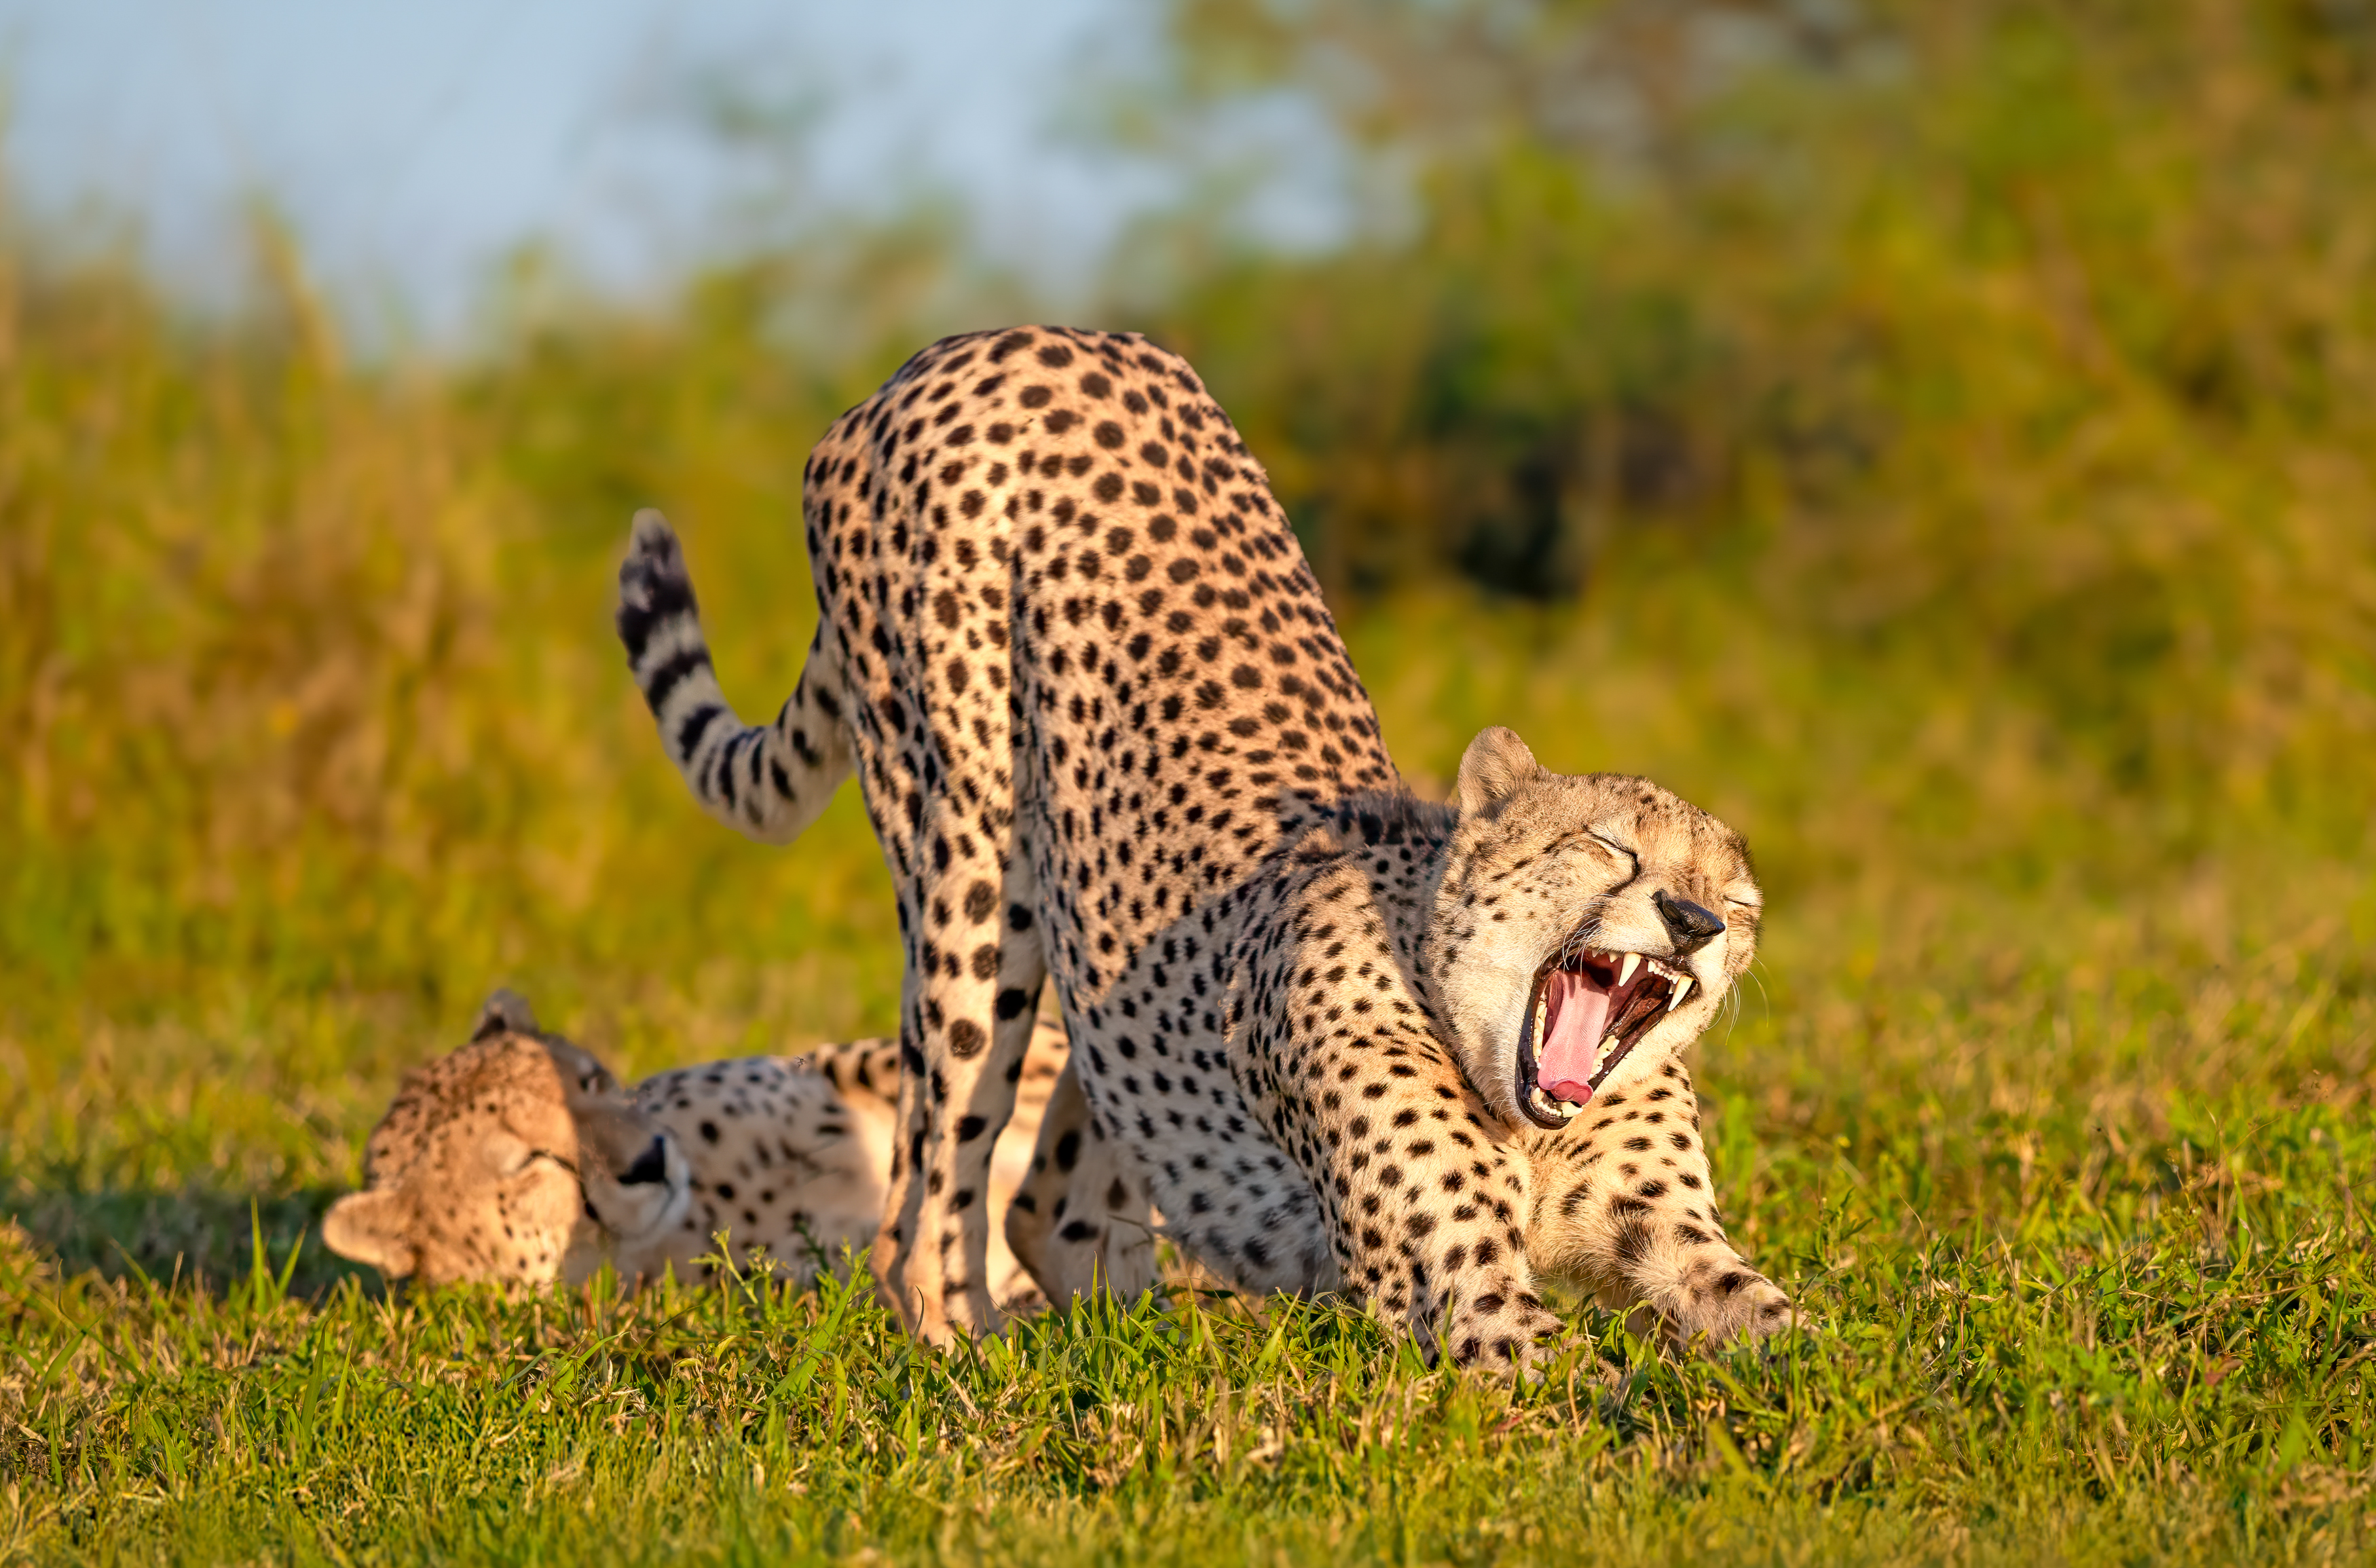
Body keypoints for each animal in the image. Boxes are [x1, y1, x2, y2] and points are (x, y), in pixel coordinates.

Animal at [616, 324, 1797, 1368]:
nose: (1692, 922)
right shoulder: (1464, 1294)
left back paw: (1136, 1345)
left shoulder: (1676, 1245)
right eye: (1610, 847)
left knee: (1054, 1192)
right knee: (926, 1199)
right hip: (971, 876)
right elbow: (1594, 1393)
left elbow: (1795, 1337)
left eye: (1734, 903)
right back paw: (979, 1362)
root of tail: (980, 341)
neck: (1520, 1100)